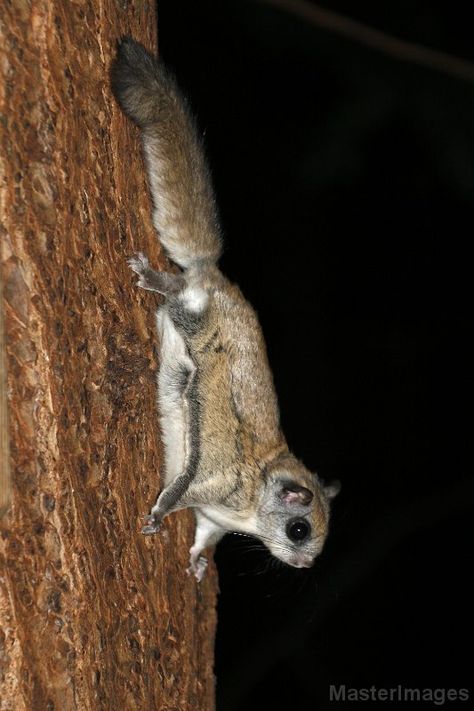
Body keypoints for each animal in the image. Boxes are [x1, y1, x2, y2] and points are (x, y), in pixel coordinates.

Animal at [111, 37, 340, 584]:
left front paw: (196, 563)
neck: (254, 502)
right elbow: (178, 495)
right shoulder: (214, 482)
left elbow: (202, 535)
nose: (305, 564)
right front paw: (156, 517)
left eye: (320, 541)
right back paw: (155, 278)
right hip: (195, 315)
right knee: (179, 293)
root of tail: (216, 277)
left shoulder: (214, 519)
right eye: (299, 529)